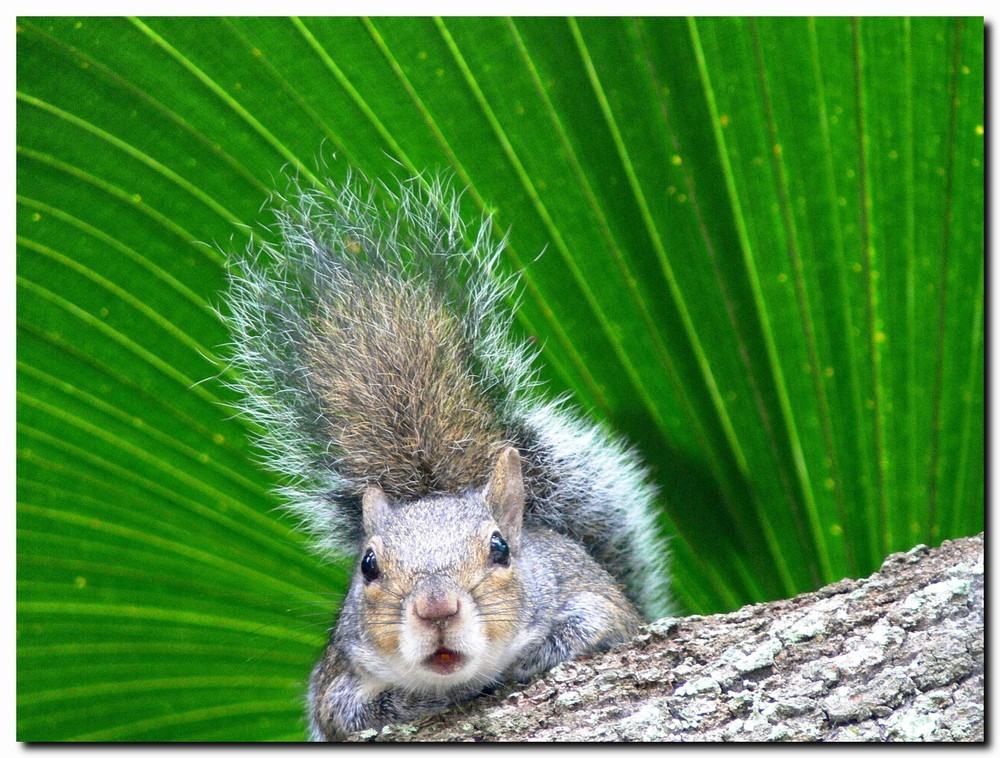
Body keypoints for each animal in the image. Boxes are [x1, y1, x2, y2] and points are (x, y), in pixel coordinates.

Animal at [221, 174, 672, 744]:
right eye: (367, 564)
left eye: (500, 548)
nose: (436, 608)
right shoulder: (335, 681)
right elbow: (344, 711)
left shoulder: (594, 600)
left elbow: (597, 626)